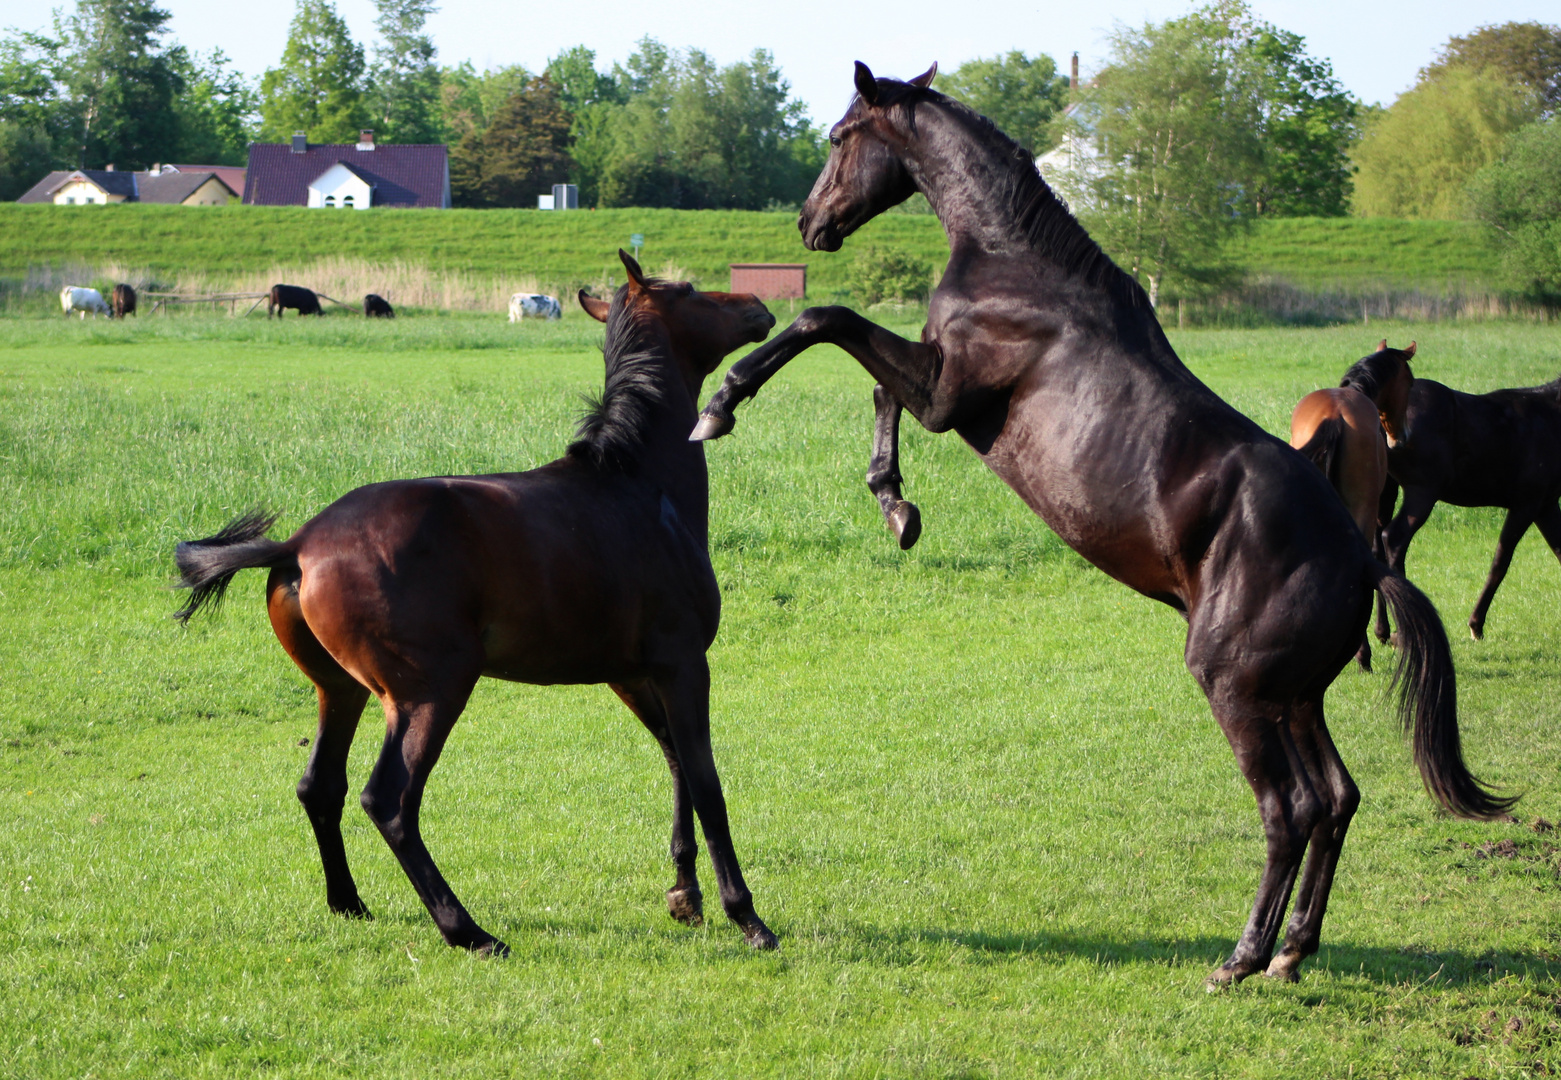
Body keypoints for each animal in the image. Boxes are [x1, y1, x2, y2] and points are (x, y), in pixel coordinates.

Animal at [174, 251, 780, 955]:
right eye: (688, 292)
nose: (758, 308)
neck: (637, 484)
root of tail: (299, 544)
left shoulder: (630, 673)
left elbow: (676, 760)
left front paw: (685, 894)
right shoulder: (683, 663)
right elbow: (707, 781)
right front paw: (746, 915)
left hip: (341, 690)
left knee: (320, 786)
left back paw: (348, 902)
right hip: (430, 691)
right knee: (389, 801)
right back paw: (466, 929)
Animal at [1292, 341, 1417, 671]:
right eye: (1410, 383)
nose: (1401, 437)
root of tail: (1334, 417)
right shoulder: (1379, 511)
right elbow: (1378, 555)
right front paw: (1382, 632)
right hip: (1362, 510)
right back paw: (1362, 654)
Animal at [1379, 366, 1561, 646]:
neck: (1551, 416)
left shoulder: (1546, 506)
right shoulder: (1526, 505)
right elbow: (1500, 563)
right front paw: (1476, 624)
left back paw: (1382, 631)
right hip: (1422, 492)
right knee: (1394, 538)